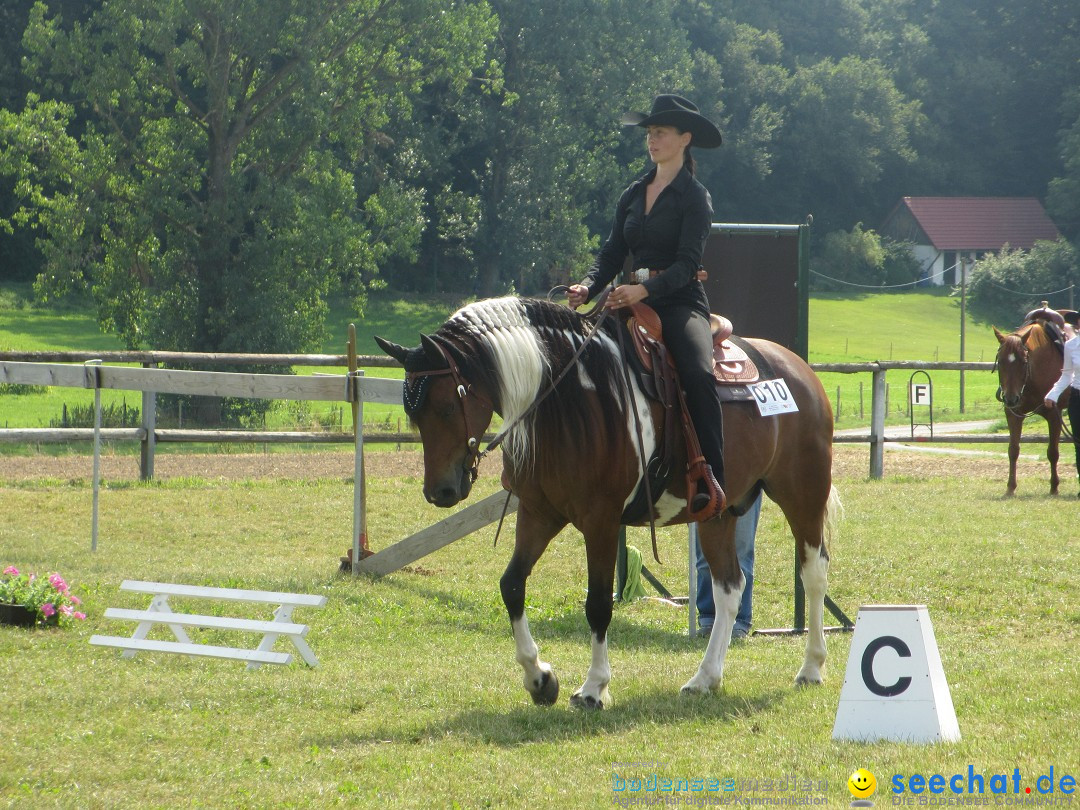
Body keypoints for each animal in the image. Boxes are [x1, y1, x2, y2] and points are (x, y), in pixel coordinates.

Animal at [375, 298, 838, 708]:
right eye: (413, 413)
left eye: (446, 405)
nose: (439, 492)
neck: (568, 397)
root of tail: (800, 370)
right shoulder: (540, 512)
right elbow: (512, 585)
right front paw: (540, 679)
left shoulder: (600, 520)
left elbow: (598, 603)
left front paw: (594, 687)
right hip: (716, 513)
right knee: (729, 588)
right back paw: (705, 678)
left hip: (802, 492)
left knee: (813, 572)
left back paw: (811, 667)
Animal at [989, 306, 1067, 498]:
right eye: (1000, 361)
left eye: (1024, 362)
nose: (1010, 398)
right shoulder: (1013, 414)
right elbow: (1013, 450)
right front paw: (1010, 487)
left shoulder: (1054, 414)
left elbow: (1052, 452)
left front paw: (1054, 487)